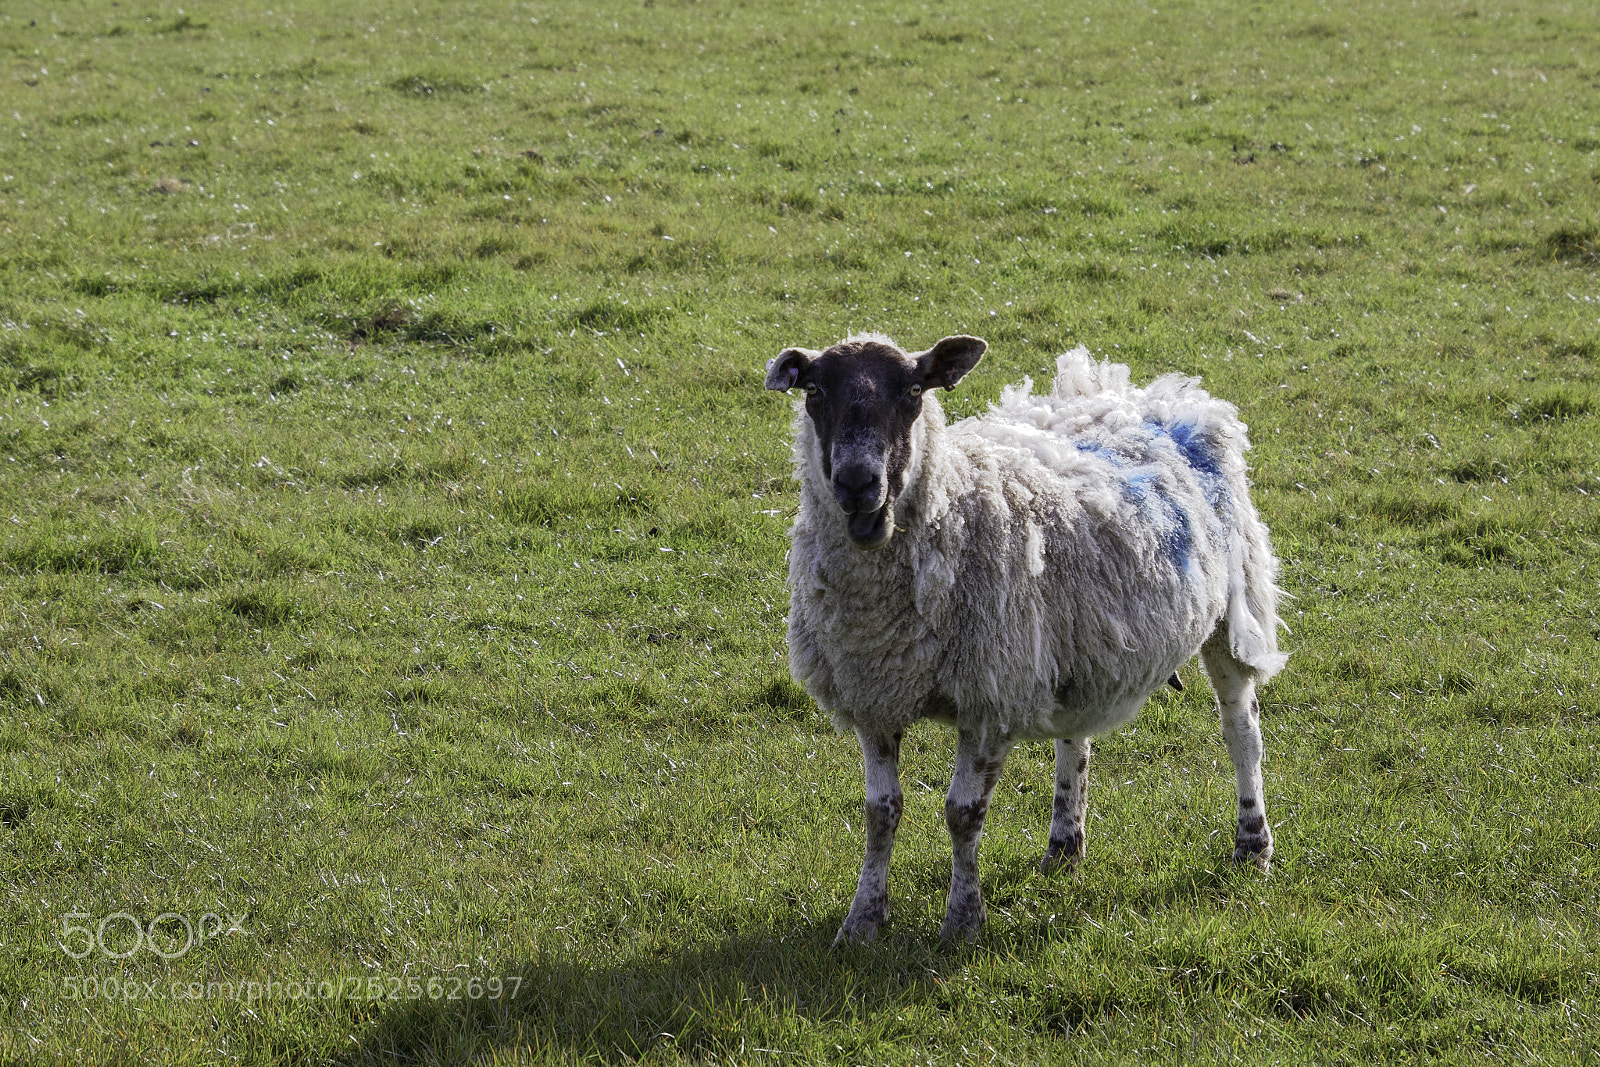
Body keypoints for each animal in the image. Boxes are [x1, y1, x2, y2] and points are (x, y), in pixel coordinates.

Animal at [764, 333, 1288, 945]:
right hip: (1079, 641)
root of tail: (1138, 391)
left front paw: (963, 922)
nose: (856, 483)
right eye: (814, 392)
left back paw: (1252, 844)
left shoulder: (989, 698)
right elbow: (881, 813)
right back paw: (1064, 845)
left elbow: (962, 814)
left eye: (914, 390)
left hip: (1233, 606)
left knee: (1241, 730)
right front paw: (863, 921)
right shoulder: (872, 693)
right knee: (1075, 738)